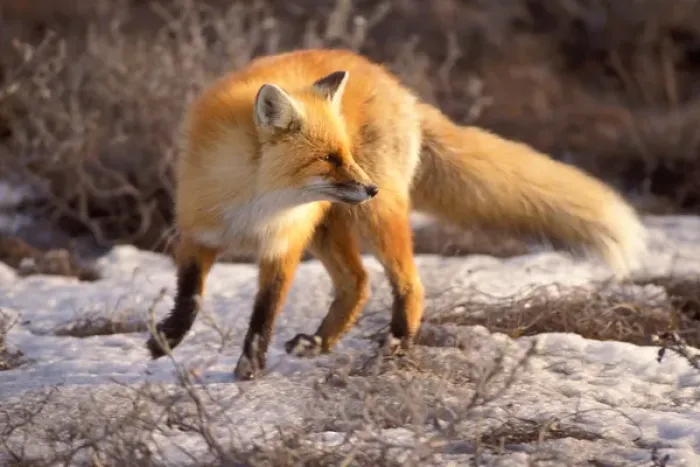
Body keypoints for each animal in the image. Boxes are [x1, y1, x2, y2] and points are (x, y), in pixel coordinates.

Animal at [146, 48, 647, 380]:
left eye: (344, 153)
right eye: (328, 159)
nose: (370, 187)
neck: (258, 202)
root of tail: (399, 87)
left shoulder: (282, 246)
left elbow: (263, 315)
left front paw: (250, 365)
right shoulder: (197, 233)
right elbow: (190, 297)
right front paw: (167, 338)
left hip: (372, 221)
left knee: (408, 284)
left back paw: (396, 348)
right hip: (332, 225)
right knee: (358, 283)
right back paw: (322, 342)